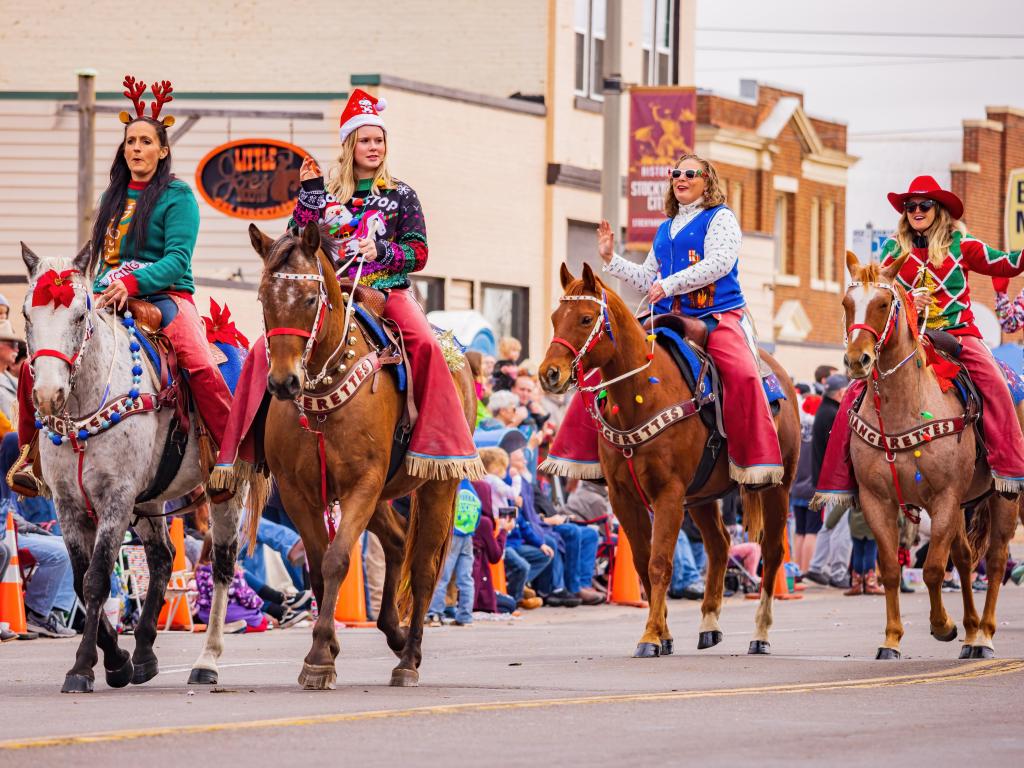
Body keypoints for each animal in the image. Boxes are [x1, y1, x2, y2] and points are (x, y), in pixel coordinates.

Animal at [20, 243, 245, 696]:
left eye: (80, 315)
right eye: (26, 315)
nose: (48, 394)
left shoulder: (117, 497)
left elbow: (96, 579)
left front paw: (83, 668)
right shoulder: (69, 505)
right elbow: (80, 579)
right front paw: (119, 661)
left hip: (224, 492)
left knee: (223, 564)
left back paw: (207, 661)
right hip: (150, 500)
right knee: (162, 558)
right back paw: (143, 654)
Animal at [239, 222, 468, 692]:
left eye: (311, 299)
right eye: (264, 298)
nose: (284, 382)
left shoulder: (363, 484)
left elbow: (337, 560)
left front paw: (319, 657)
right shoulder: (300, 493)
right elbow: (315, 566)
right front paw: (325, 648)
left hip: (436, 485)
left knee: (422, 570)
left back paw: (409, 659)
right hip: (380, 496)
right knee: (397, 542)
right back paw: (394, 634)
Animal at [536, 264, 798, 655]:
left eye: (585, 318)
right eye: (555, 318)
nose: (549, 374)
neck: (642, 393)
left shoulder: (669, 494)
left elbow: (660, 563)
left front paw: (649, 636)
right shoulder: (623, 497)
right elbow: (642, 562)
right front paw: (663, 634)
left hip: (776, 488)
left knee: (772, 551)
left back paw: (761, 634)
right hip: (702, 496)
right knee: (720, 545)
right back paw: (709, 623)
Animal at [827, 252, 1019, 663]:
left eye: (884, 303)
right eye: (847, 304)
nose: (856, 361)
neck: (905, 407)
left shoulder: (944, 497)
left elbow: (932, 569)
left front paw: (942, 625)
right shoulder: (877, 500)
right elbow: (890, 569)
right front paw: (891, 640)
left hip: (1004, 495)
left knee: (995, 561)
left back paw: (984, 635)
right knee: (964, 557)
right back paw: (971, 631)